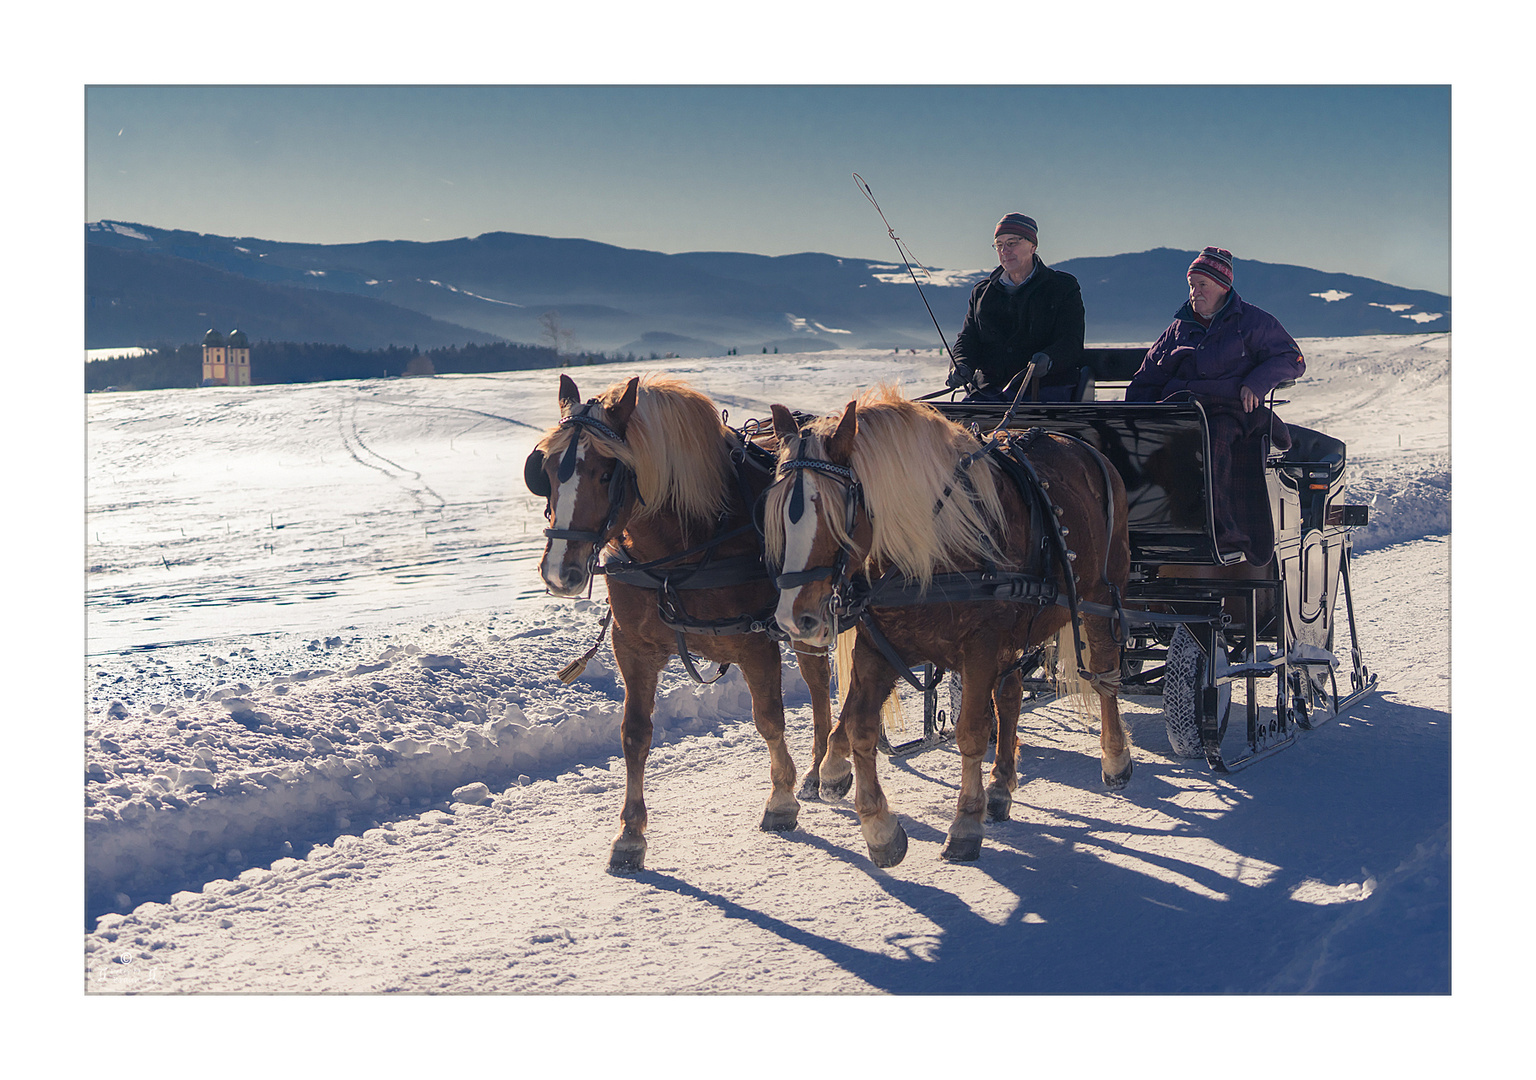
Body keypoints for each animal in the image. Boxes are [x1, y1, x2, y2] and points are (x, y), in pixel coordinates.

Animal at [531, 376, 841, 872]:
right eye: (545, 469)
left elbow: (769, 720)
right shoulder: (633, 649)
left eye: (607, 473)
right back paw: (820, 769)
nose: (561, 572)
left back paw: (831, 766)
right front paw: (630, 835)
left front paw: (781, 800)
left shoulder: (755, 642)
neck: (687, 545)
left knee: (822, 682)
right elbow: (635, 734)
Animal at [764, 388, 1136, 872]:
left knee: (1106, 675)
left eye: (833, 512)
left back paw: (1115, 760)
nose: (795, 619)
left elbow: (971, 732)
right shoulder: (878, 646)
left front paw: (964, 825)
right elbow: (859, 727)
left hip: (1101, 595)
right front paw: (878, 826)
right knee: (1011, 695)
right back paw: (1000, 787)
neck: (929, 550)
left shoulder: (981, 646)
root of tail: (1084, 448)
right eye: (777, 515)